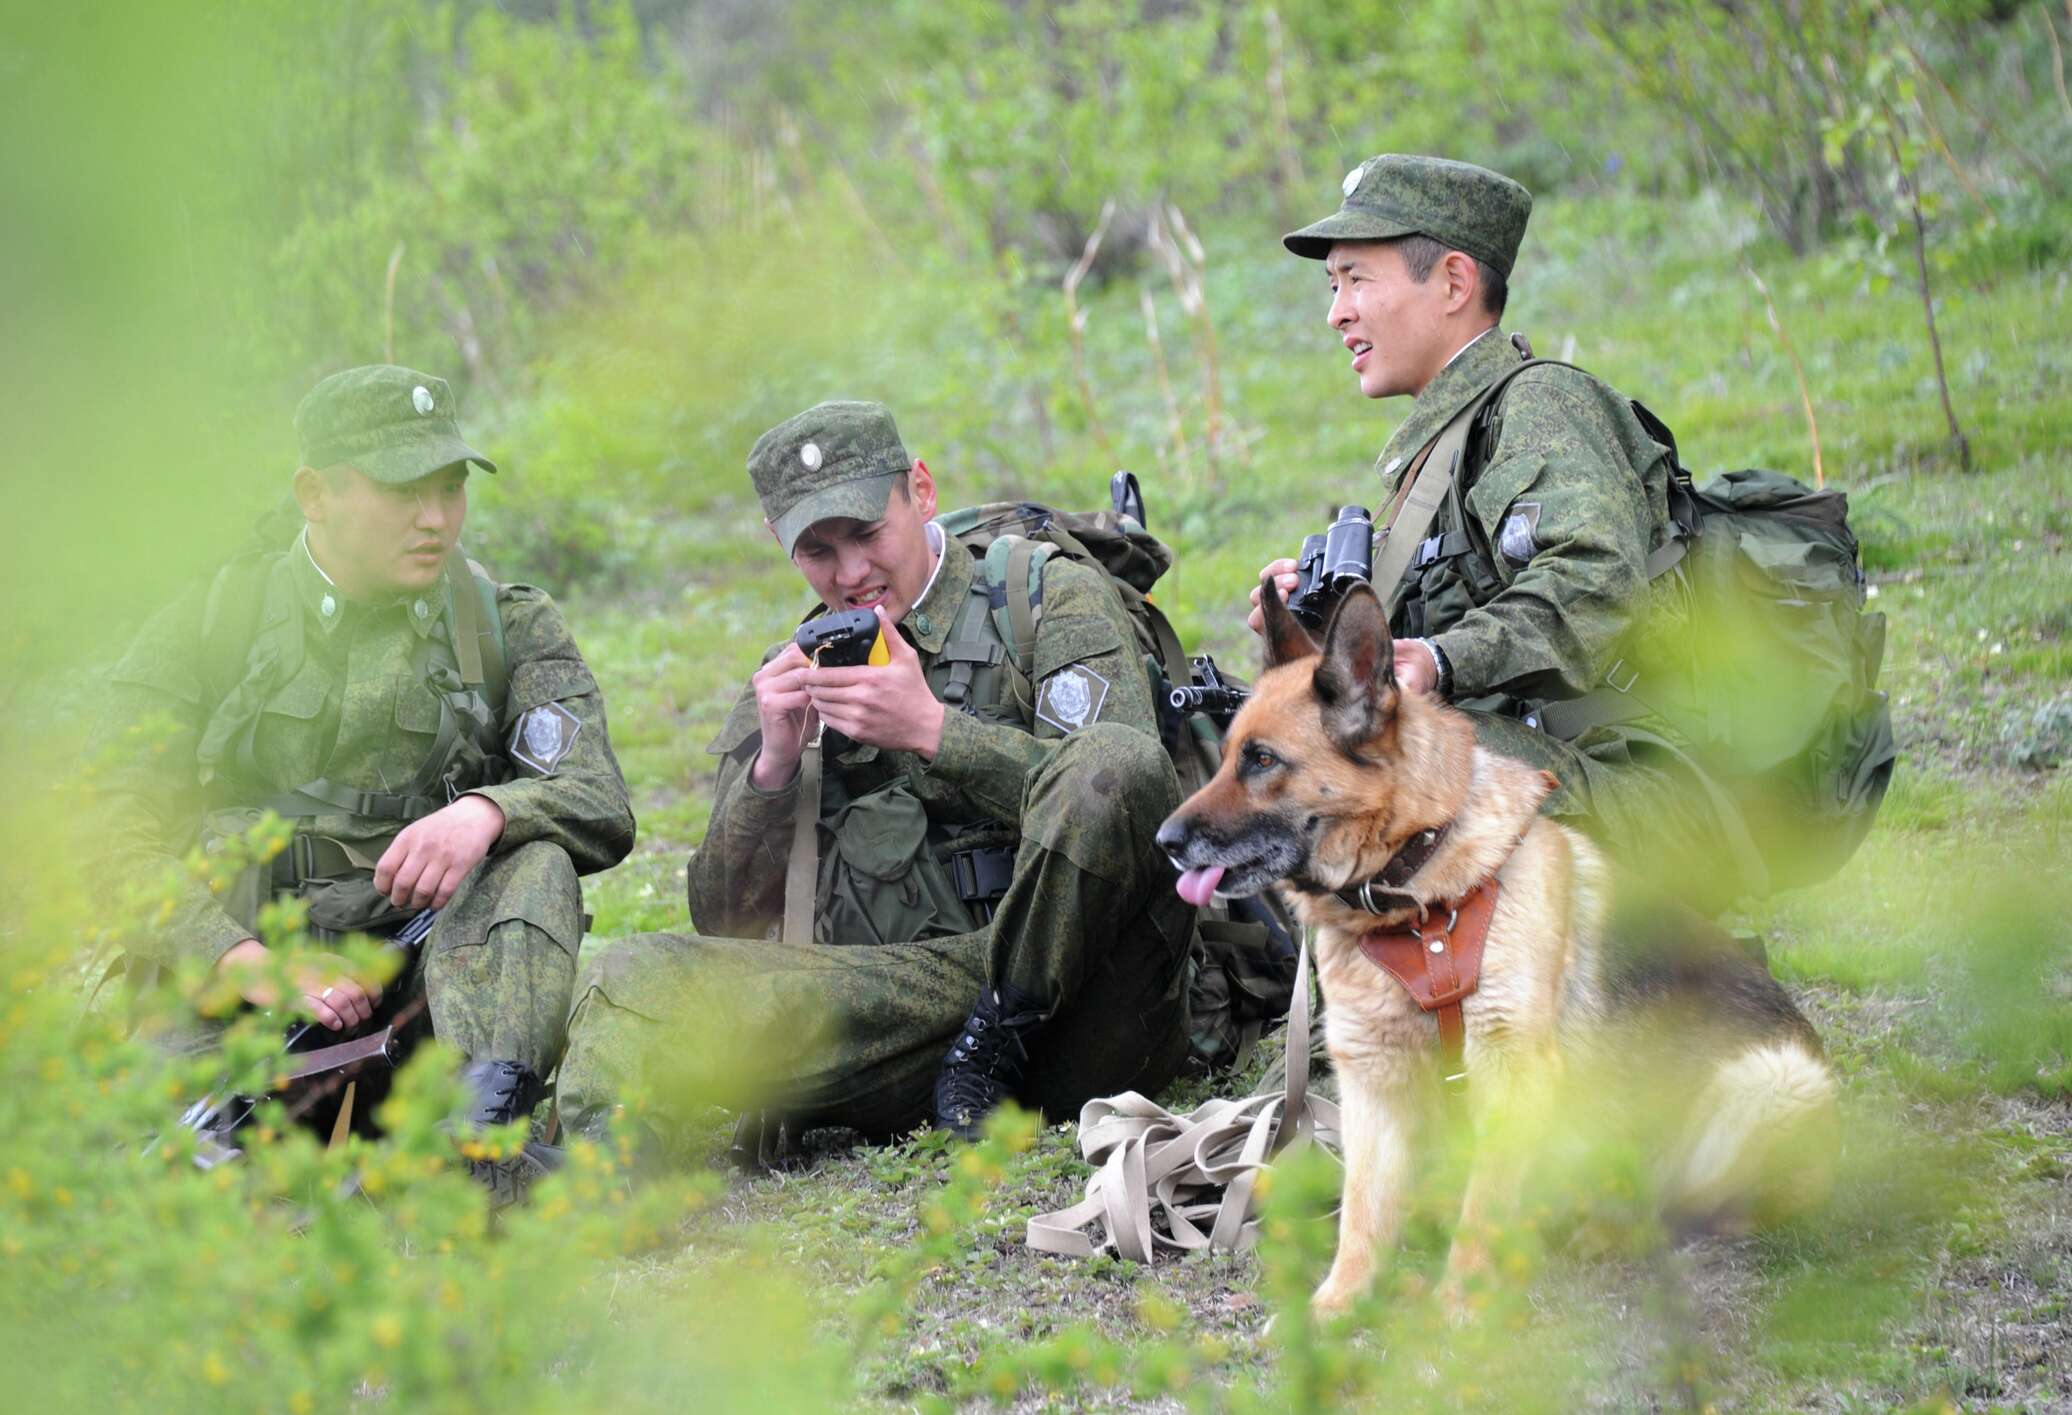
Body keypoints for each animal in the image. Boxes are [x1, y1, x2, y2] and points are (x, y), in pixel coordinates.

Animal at [1160, 580, 1839, 1325]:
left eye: (1262, 761)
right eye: (1228, 754)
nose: (1165, 840)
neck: (1415, 895)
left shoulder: (1511, 1072)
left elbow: (1483, 1206)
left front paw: (1464, 1306)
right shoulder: (1373, 1084)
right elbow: (1364, 1209)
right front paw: (1339, 1303)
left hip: (1768, 1082)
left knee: (1690, 1206)